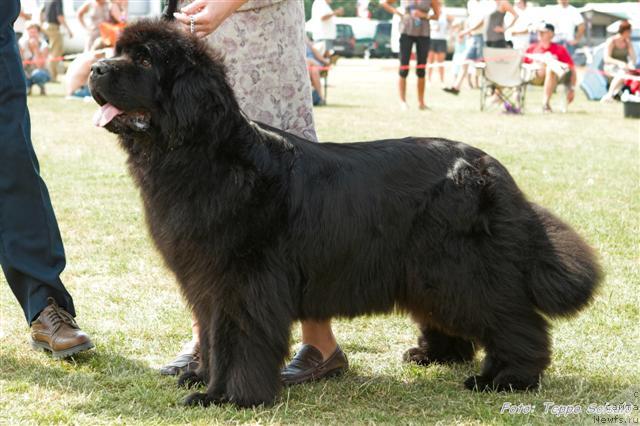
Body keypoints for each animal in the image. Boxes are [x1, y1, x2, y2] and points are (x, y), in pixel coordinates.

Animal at [89, 19, 600, 406]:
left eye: (145, 60)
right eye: (118, 51)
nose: (94, 68)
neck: (201, 152)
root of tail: (489, 167)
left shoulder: (242, 281)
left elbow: (236, 339)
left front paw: (227, 397)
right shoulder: (204, 281)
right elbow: (214, 338)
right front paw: (203, 378)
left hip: (461, 266)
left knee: (514, 318)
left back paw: (506, 378)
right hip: (429, 269)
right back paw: (437, 354)